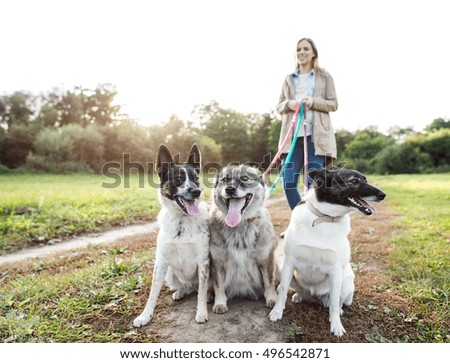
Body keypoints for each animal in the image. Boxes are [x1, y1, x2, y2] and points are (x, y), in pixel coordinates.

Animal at [133, 144, 210, 328]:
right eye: (178, 178)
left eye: (196, 178)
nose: (196, 191)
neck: (182, 221)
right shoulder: (161, 262)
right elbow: (153, 293)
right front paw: (145, 316)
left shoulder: (203, 261)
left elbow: (202, 293)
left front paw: (201, 312)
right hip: (169, 272)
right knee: (185, 288)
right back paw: (180, 292)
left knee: (200, 290)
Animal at [268, 168, 384, 338]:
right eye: (354, 181)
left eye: (365, 180)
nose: (383, 195)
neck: (324, 218)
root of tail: (314, 296)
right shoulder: (289, 262)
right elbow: (282, 290)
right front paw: (277, 312)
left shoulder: (335, 271)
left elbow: (335, 303)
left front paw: (336, 326)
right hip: (285, 270)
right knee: (298, 291)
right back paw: (299, 296)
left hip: (346, 281)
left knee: (338, 301)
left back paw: (338, 310)